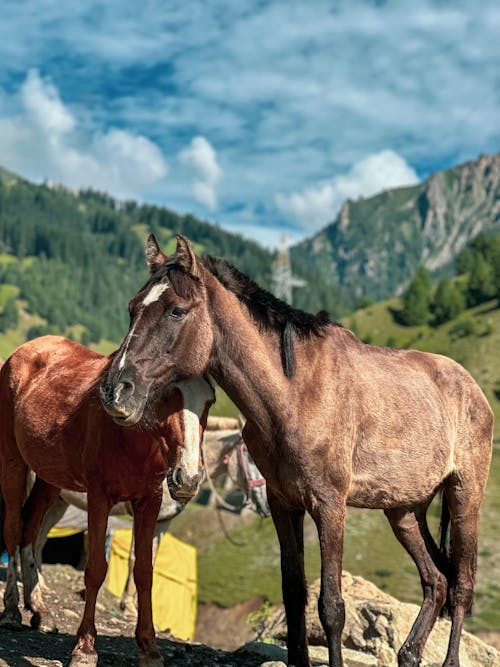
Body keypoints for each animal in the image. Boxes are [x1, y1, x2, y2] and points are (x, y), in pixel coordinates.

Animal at [0, 336, 213, 664]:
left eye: (209, 401)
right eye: (168, 395)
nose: (188, 478)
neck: (132, 438)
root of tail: (26, 349)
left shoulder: (149, 504)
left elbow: (144, 572)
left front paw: (149, 649)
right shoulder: (99, 498)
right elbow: (96, 569)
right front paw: (85, 649)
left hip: (49, 478)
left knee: (30, 529)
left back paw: (38, 607)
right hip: (13, 462)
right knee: (13, 527)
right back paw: (11, 609)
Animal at [100, 237, 492, 667]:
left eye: (176, 310)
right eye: (133, 307)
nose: (115, 389)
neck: (294, 394)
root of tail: (472, 389)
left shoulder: (329, 505)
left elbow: (331, 606)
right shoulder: (283, 503)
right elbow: (293, 593)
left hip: (464, 498)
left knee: (461, 586)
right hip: (404, 510)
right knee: (436, 580)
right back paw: (408, 654)